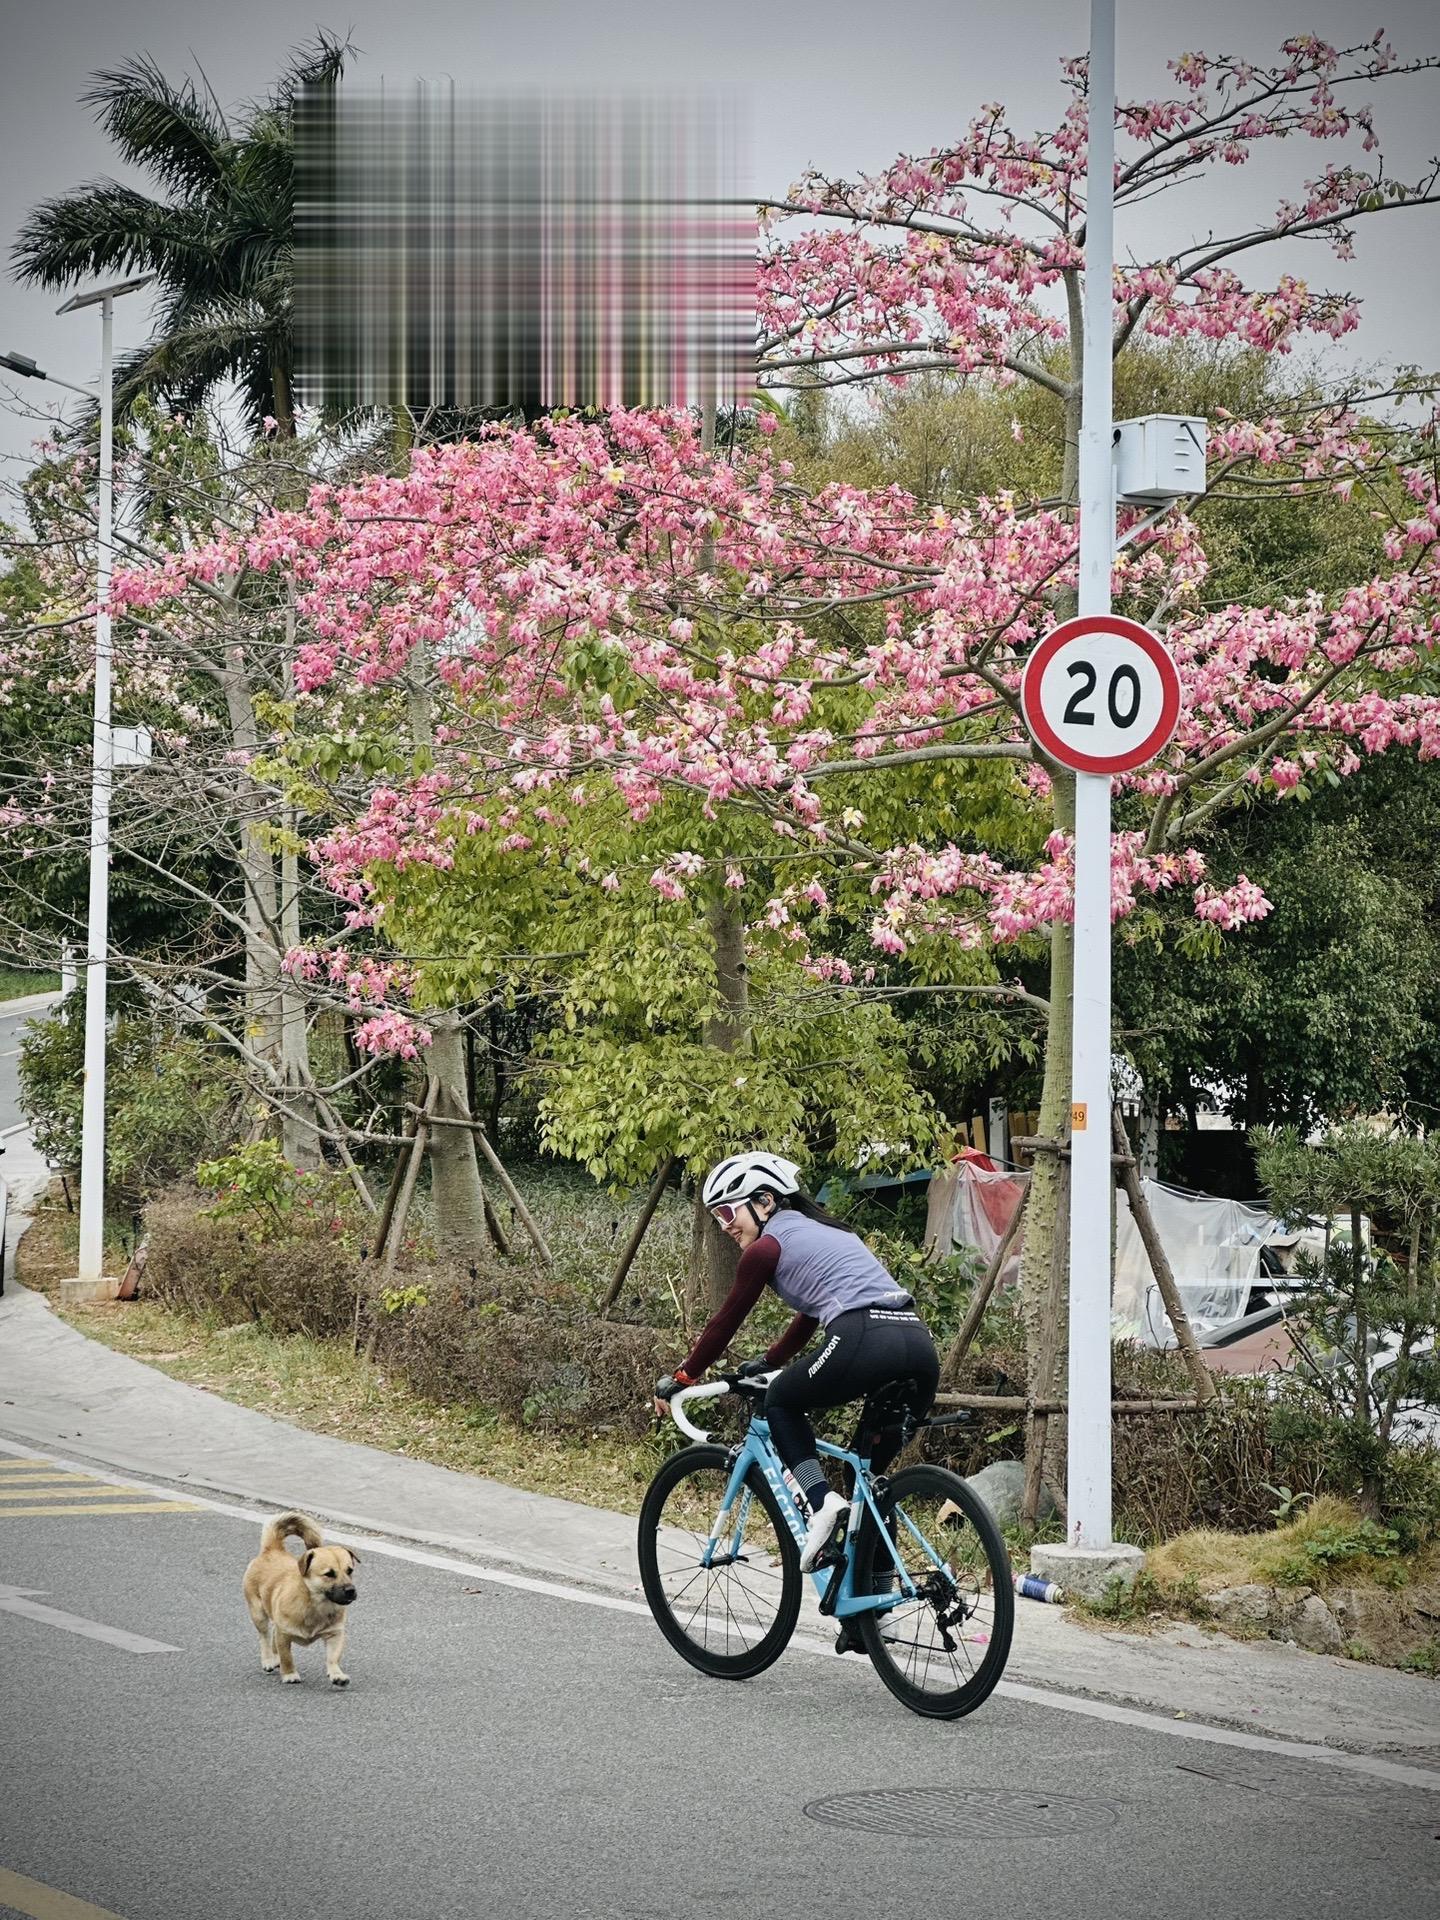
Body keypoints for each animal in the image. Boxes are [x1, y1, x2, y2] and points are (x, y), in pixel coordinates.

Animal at [242, 1505, 360, 1689]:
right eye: (329, 1574)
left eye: (350, 1571)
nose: (350, 1590)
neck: (315, 1605)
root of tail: (272, 1549)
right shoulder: (284, 1635)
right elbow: (287, 1657)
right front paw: (289, 1674)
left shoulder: (335, 1634)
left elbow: (333, 1657)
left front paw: (336, 1675)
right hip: (258, 1613)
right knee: (265, 1637)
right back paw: (269, 1660)